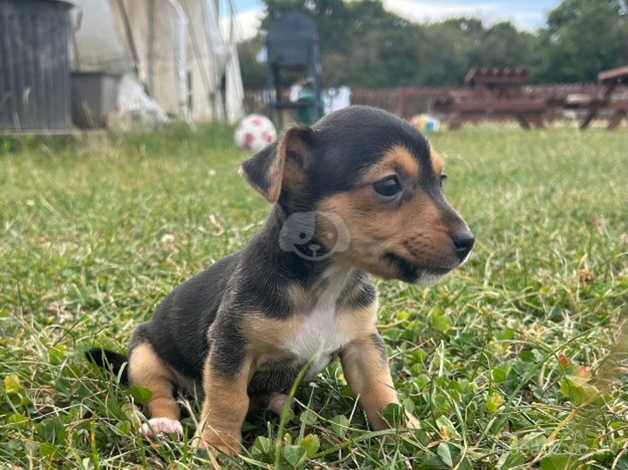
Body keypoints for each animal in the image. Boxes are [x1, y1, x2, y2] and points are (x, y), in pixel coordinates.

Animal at [87, 107, 472, 456]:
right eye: (389, 185)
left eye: (441, 180)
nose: (468, 242)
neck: (326, 281)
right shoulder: (231, 346)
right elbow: (228, 399)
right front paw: (216, 447)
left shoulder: (362, 343)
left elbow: (382, 391)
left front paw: (408, 433)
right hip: (144, 358)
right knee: (161, 396)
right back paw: (164, 427)